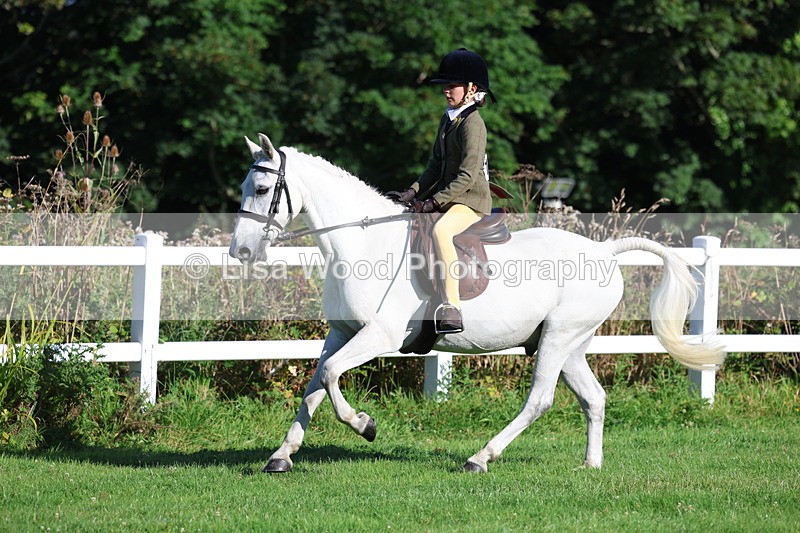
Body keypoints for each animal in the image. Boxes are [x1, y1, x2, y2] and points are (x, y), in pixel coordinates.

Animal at [229, 133, 725, 473]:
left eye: (261, 190)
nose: (241, 253)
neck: (362, 244)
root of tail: (605, 251)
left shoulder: (379, 336)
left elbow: (331, 377)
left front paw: (365, 425)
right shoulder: (342, 332)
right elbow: (314, 385)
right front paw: (282, 456)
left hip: (559, 338)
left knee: (540, 400)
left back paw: (481, 457)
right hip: (569, 343)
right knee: (593, 397)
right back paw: (591, 465)